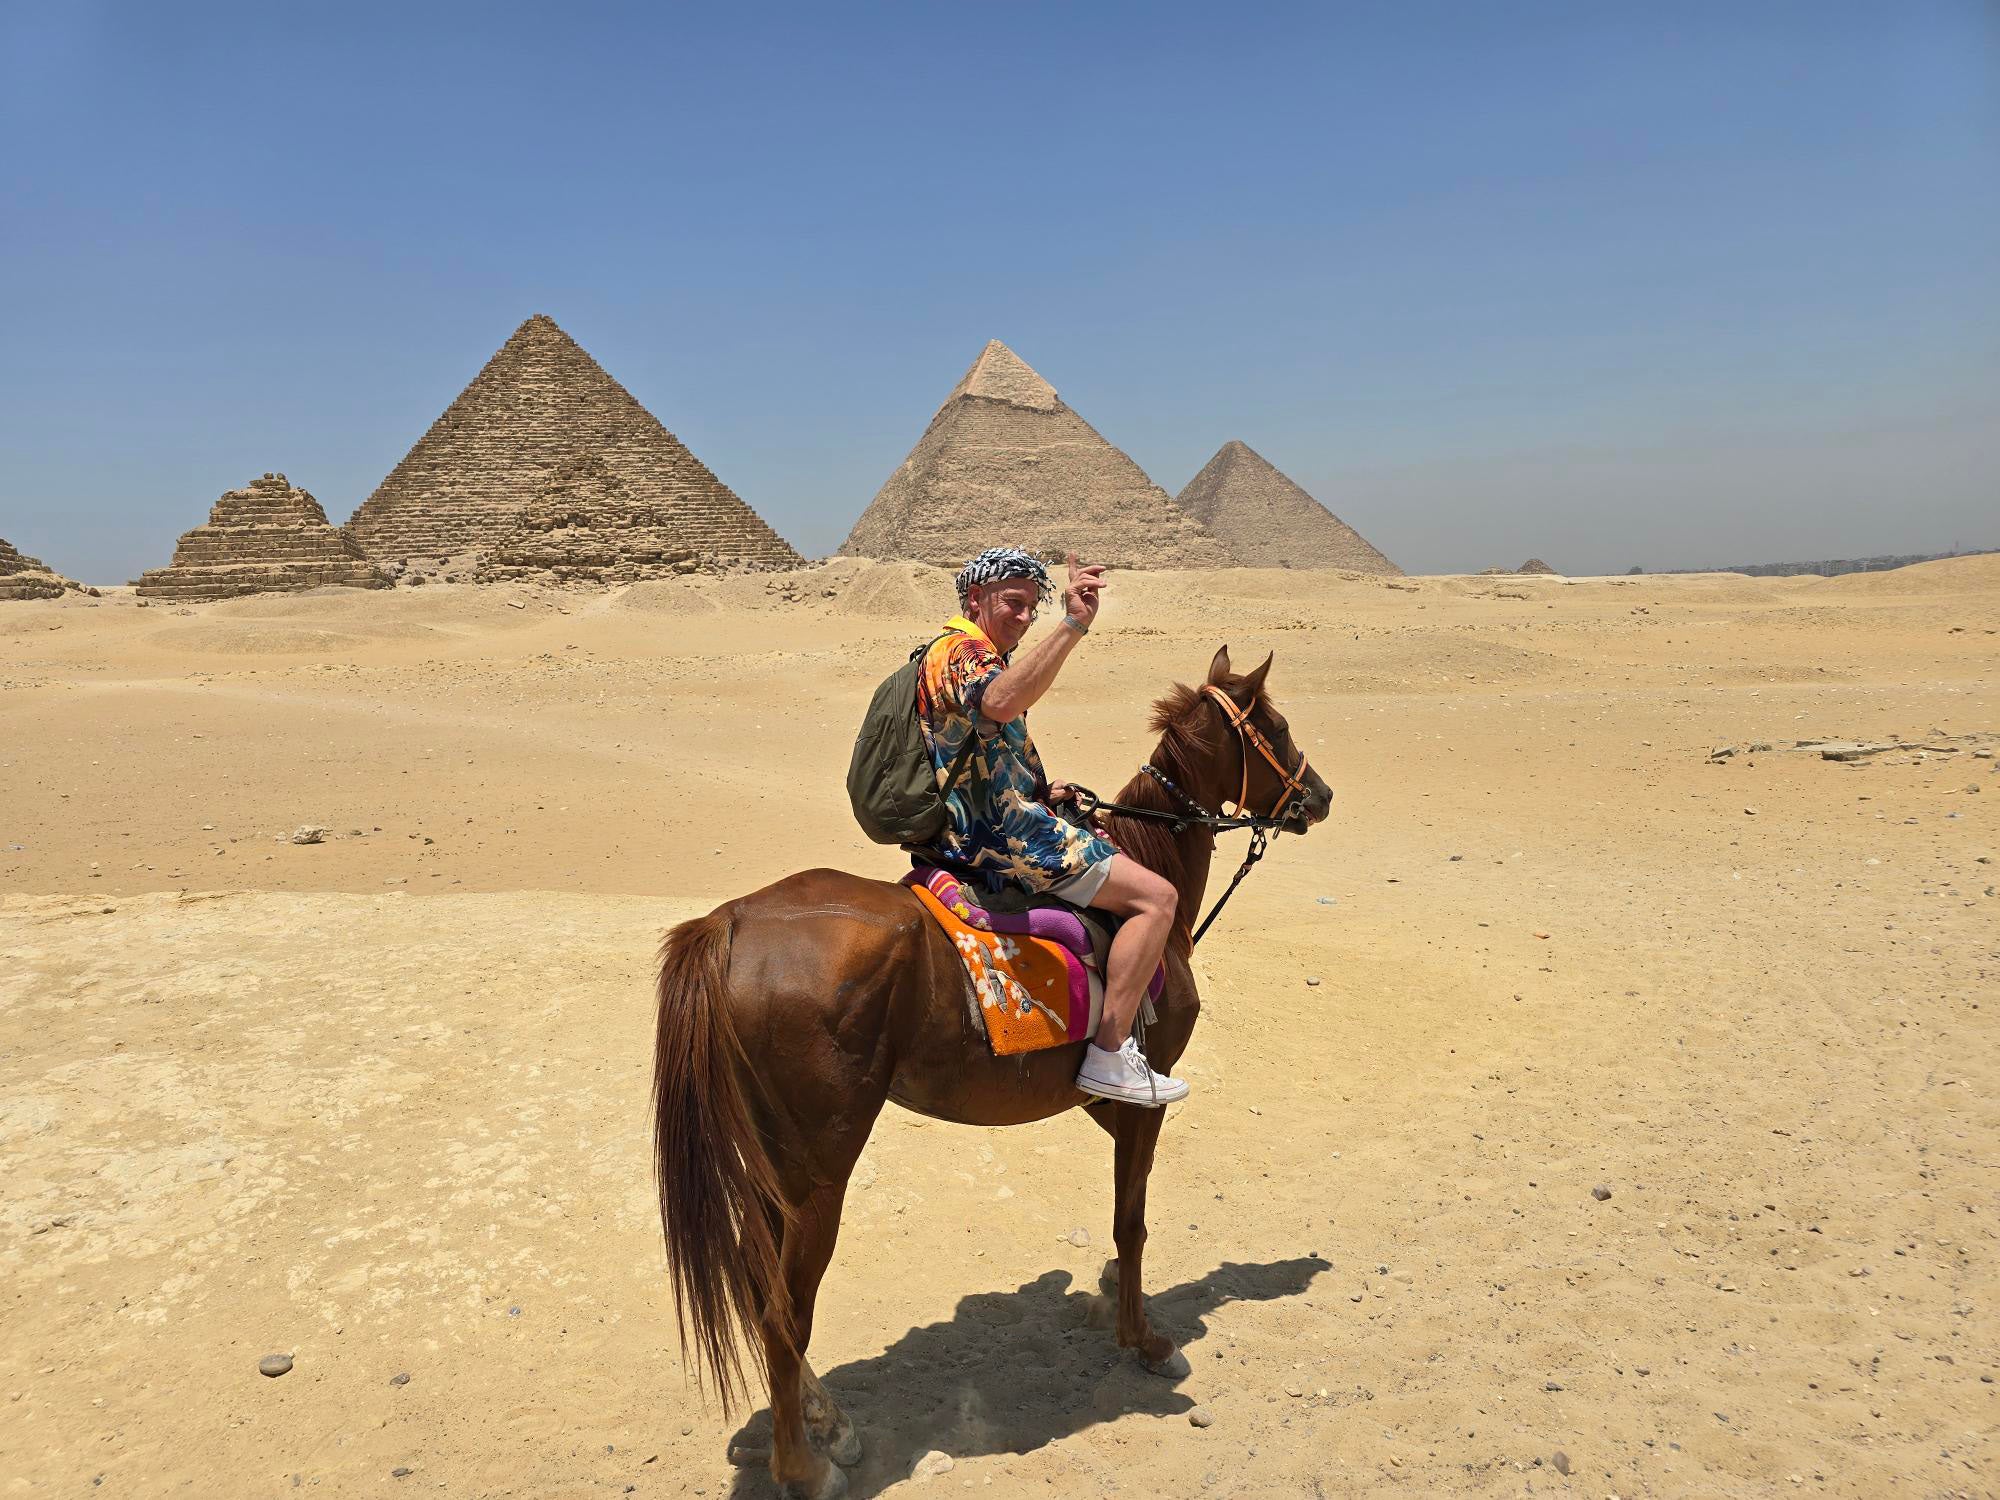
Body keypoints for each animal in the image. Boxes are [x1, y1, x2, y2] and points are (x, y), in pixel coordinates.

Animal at [651, 645, 1333, 1499]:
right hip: (819, 1169)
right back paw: (804, 1468)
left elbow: (1125, 1213)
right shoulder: (1149, 1092)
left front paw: (1111, 1298)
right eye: (1276, 723)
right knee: (781, 1311)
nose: (1320, 795)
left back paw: (827, 1420)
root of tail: (730, 922)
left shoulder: (1095, 1096)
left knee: (755, 1284)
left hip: (770, 1159)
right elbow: (1133, 1220)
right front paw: (1144, 1340)